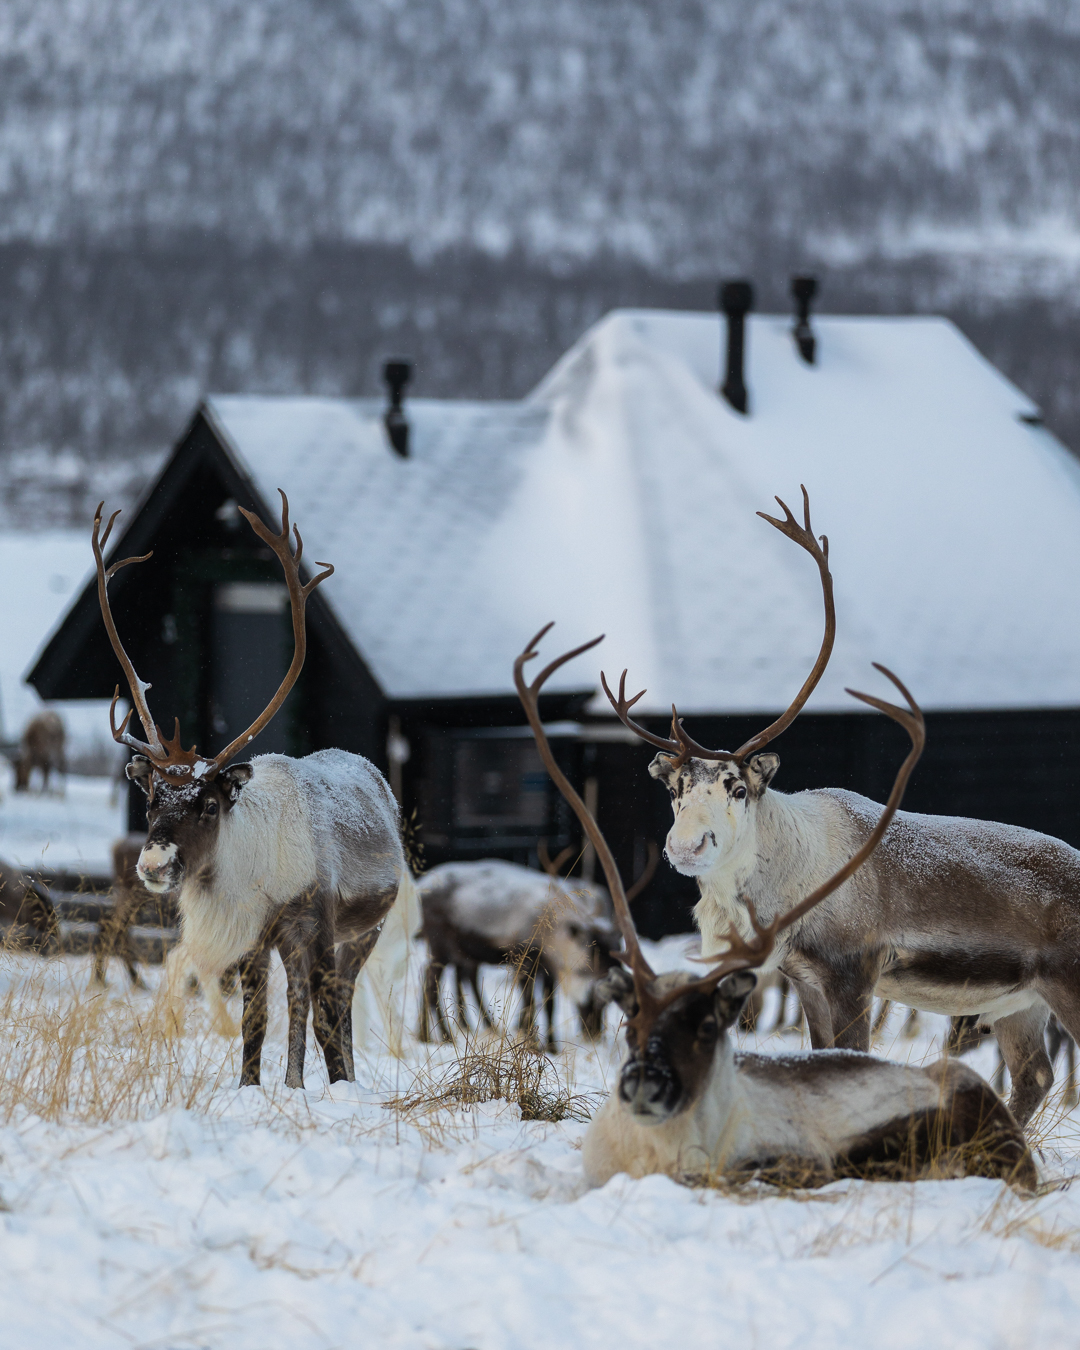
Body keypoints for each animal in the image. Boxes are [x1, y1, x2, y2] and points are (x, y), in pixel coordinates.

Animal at [91, 492, 418, 1088]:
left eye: (209, 804)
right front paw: (254, 1088)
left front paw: (339, 1086)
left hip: (366, 929)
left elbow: (327, 1021)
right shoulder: (254, 938)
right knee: (301, 1003)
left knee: (337, 1001)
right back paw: (294, 1081)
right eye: (152, 799)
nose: (153, 865)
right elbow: (255, 1023)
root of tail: (376, 775)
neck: (249, 874)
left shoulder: (317, 924)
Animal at [516, 626, 1036, 1191]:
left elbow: (856, 1054)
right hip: (1019, 1006)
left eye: (738, 788)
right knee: (1035, 1075)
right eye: (675, 789)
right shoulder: (802, 978)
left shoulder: (854, 974)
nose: (686, 846)